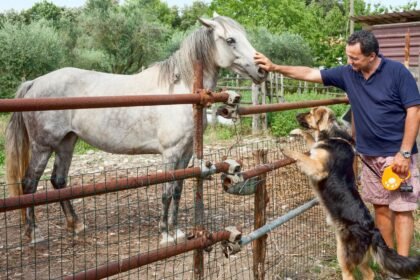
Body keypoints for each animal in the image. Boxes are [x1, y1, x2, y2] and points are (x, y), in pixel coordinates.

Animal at [5, 14, 266, 244]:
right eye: (230, 40)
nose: (262, 70)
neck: (180, 89)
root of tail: (34, 83)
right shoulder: (170, 154)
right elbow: (166, 192)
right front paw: (165, 235)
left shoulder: (186, 153)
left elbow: (178, 190)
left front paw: (177, 231)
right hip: (43, 146)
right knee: (29, 184)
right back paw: (34, 233)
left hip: (66, 143)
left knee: (58, 181)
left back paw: (76, 225)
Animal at [282, 106, 420, 278]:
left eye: (310, 113)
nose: (295, 114)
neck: (332, 134)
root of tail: (372, 230)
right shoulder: (316, 153)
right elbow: (310, 139)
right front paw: (297, 132)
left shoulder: (318, 168)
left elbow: (301, 155)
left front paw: (287, 150)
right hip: (360, 257)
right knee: (369, 274)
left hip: (343, 254)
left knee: (349, 274)